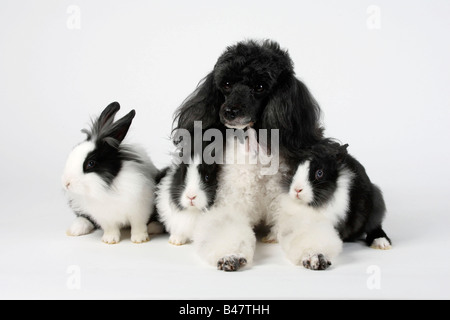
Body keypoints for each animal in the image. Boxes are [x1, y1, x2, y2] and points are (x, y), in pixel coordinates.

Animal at [61, 101, 160, 244]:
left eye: (91, 163)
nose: (66, 183)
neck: (107, 187)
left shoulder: (139, 209)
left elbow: (138, 225)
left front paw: (139, 239)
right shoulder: (105, 216)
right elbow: (110, 228)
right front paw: (109, 240)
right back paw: (76, 229)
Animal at [276, 140, 392, 270]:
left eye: (319, 173)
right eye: (295, 170)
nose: (297, 189)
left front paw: (315, 259)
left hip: (376, 204)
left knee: (375, 226)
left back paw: (381, 243)